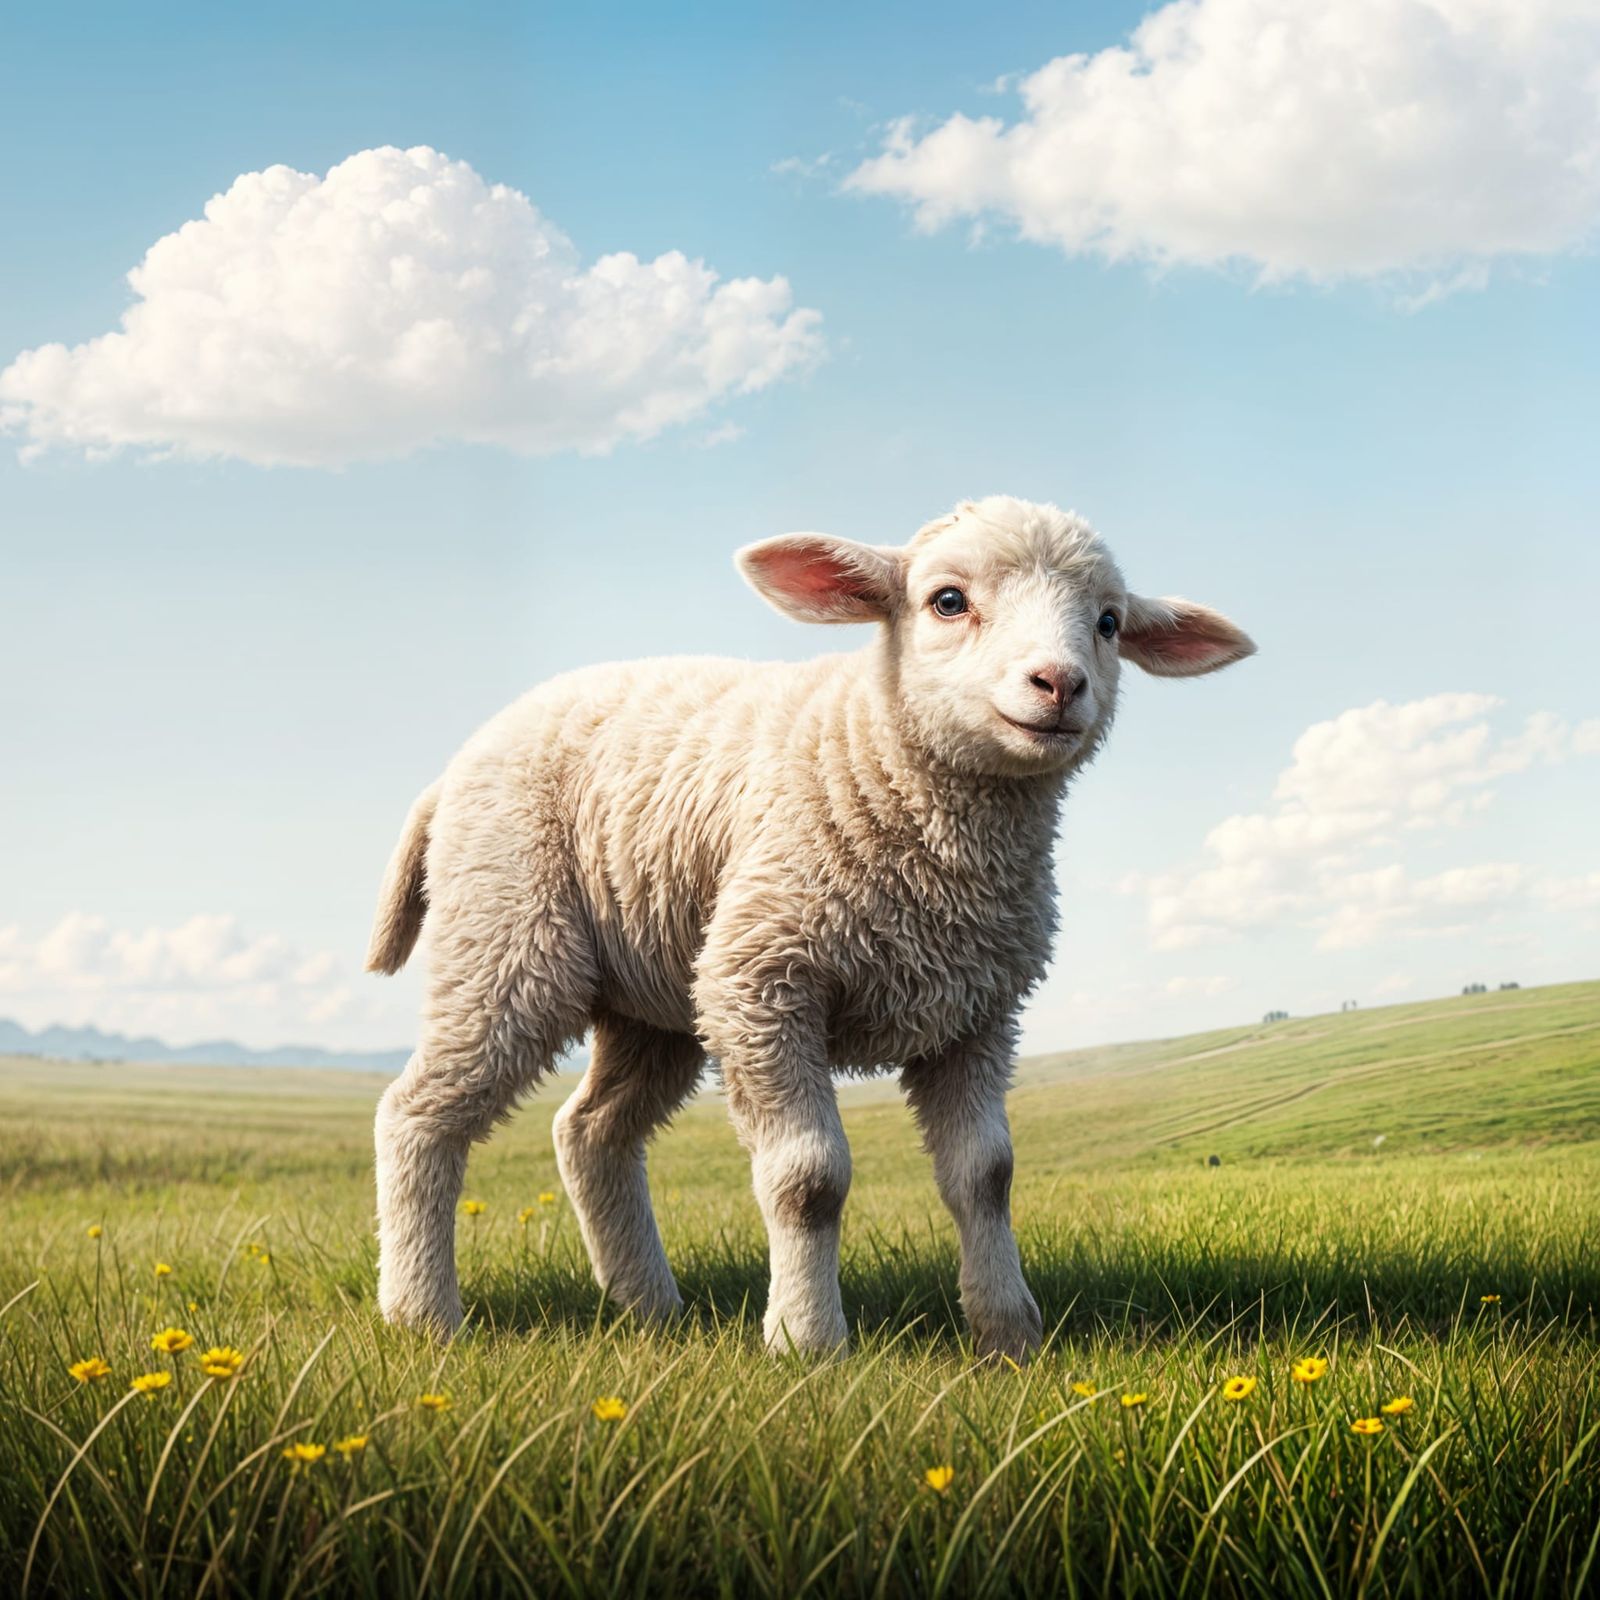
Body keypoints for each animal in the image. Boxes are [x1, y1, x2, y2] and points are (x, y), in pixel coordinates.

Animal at [368, 495, 1254, 1359]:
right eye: (947, 601)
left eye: (1107, 622)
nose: (1060, 683)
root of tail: (453, 771)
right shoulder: (765, 983)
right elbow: (809, 1180)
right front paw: (806, 1340)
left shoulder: (976, 1014)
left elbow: (986, 1176)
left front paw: (1008, 1334)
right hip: (509, 931)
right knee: (416, 1111)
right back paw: (421, 1314)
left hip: (659, 993)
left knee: (591, 1132)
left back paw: (649, 1308)